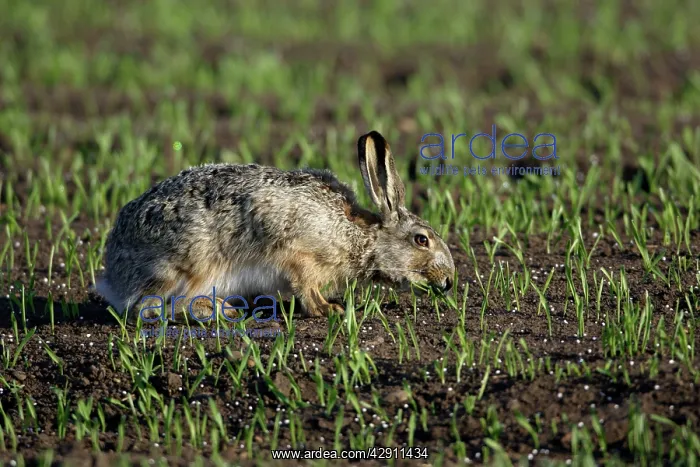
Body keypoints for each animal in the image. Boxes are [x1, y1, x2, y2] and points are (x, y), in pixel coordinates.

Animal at [94, 130, 456, 322]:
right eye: (422, 240)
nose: (449, 281)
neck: (361, 237)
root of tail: (114, 277)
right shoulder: (298, 255)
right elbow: (306, 288)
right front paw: (329, 310)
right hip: (190, 266)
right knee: (153, 307)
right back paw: (222, 311)